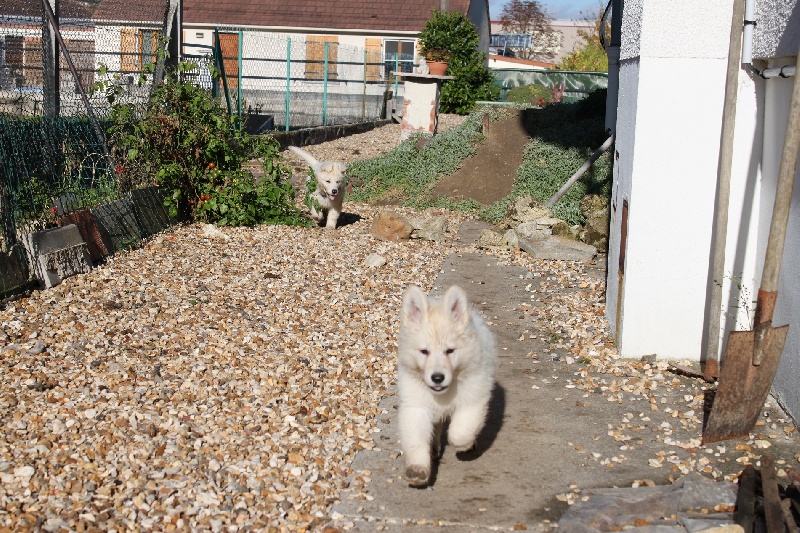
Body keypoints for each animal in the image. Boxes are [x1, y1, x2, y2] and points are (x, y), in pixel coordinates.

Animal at [396, 284, 496, 484]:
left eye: (450, 351)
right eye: (424, 351)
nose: (437, 378)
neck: (442, 394)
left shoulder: (473, 398)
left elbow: (460, 432)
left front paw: (463, 445)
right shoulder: (416, 405)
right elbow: (416, 438)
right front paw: (417, 468)